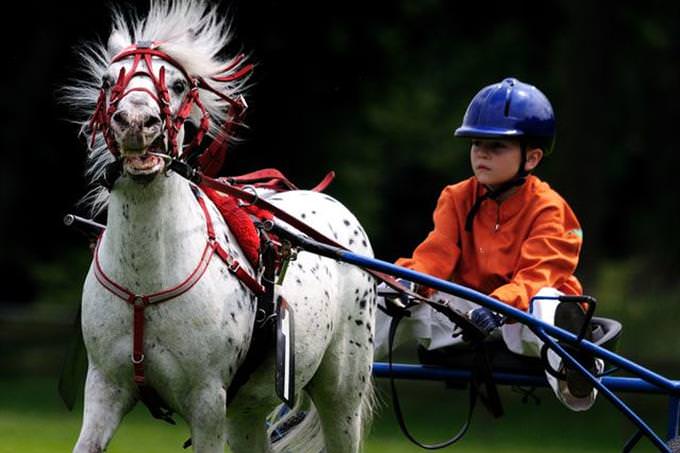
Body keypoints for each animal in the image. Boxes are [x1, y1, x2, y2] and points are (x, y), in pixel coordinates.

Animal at [63, 1, 378, 450]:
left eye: (178, 84)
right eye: (109, 81)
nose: (137, 121)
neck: (145, 283)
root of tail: (332, 205)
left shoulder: (207, 400)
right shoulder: (105, 387)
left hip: (342, 393)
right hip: (247, 412)